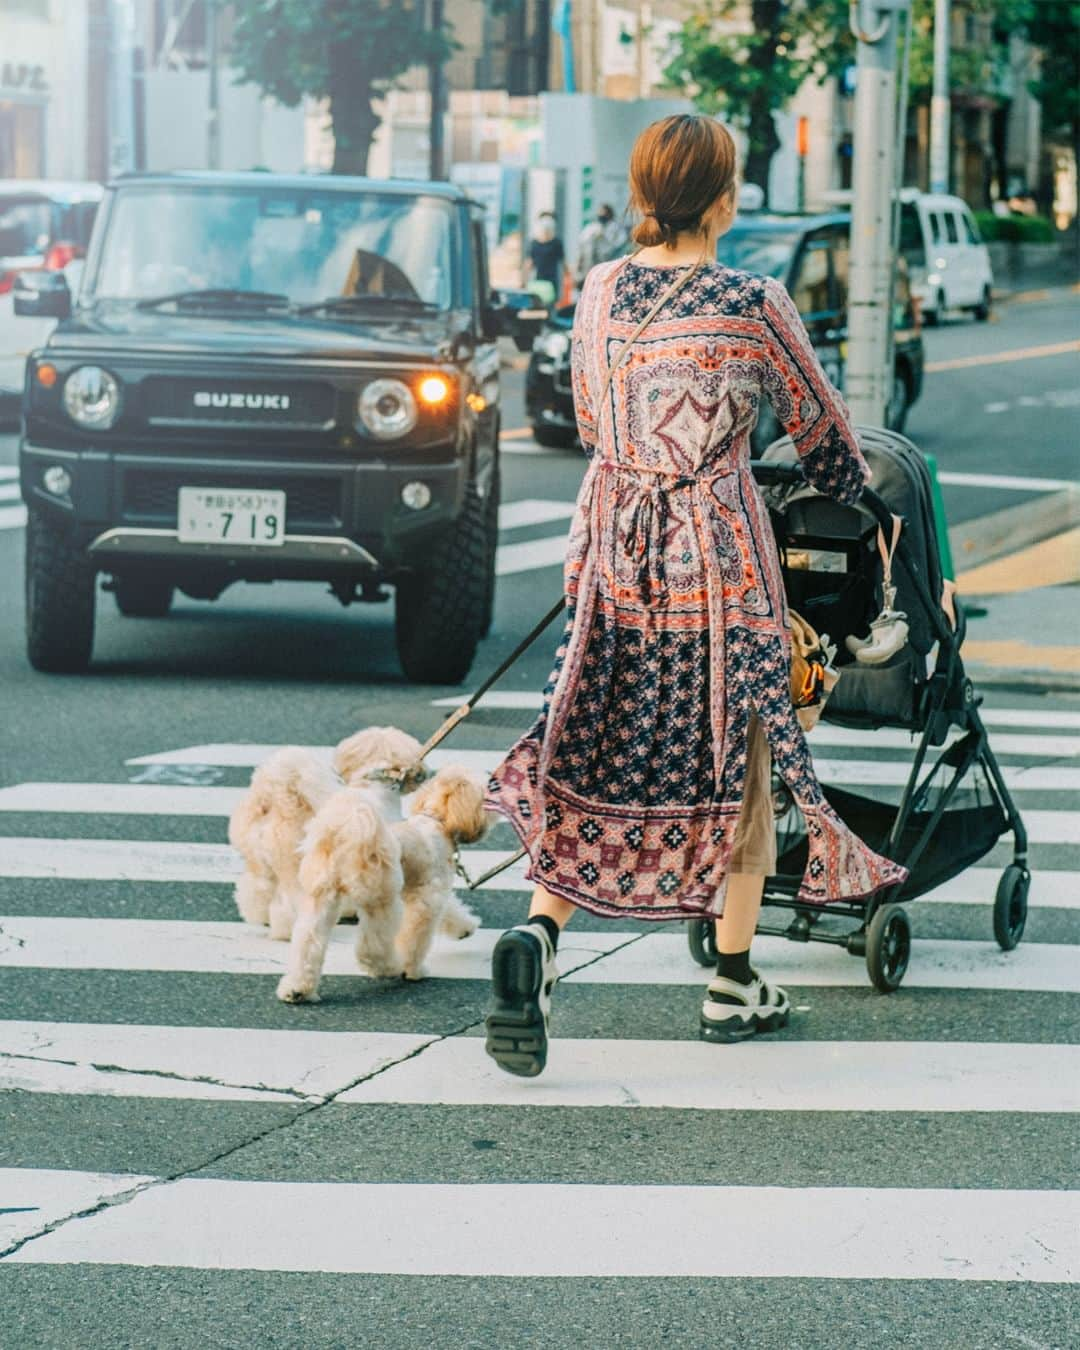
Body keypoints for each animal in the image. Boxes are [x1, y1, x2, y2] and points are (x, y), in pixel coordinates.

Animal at [276, 772, 486, 1004]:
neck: (435, 821)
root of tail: (348, 833)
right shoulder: (428, 897)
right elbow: (417, 937)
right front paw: (413, 970)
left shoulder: (428, 888)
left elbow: (451, 909)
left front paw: (465, 927)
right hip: (381, 897)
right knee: (371, 948)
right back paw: (393, 967)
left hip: (321, 897)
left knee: (308, 940)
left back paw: (297, 988)